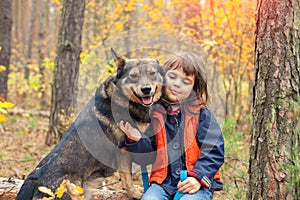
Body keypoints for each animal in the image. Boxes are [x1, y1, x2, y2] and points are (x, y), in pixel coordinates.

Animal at [16, 48, 164, 200]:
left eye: (152, 73)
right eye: (133, 76)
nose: (146, 89)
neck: (121, 96)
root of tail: (32, 180)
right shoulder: (123, 149)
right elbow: (127, 179)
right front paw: (135, 194)